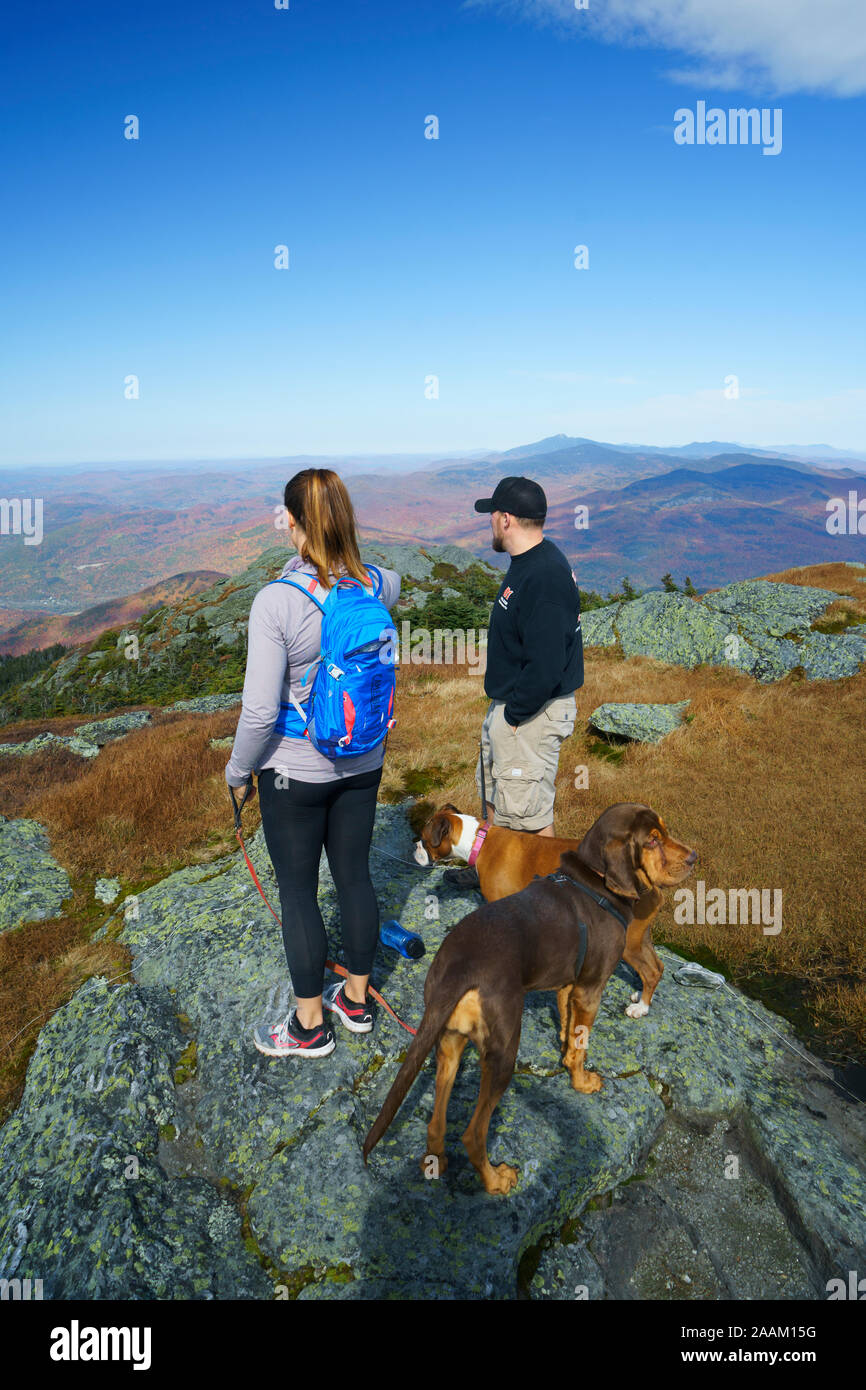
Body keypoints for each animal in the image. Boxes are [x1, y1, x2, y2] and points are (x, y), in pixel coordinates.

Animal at [417, 800, 681, 1017]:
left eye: (423, 838)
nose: (415, 846)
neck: (479, 840)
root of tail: (649, 879)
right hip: (640, 937)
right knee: (657, 967)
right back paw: (641, 995)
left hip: (628, 941)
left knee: (650, 970)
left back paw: (641, 1008)